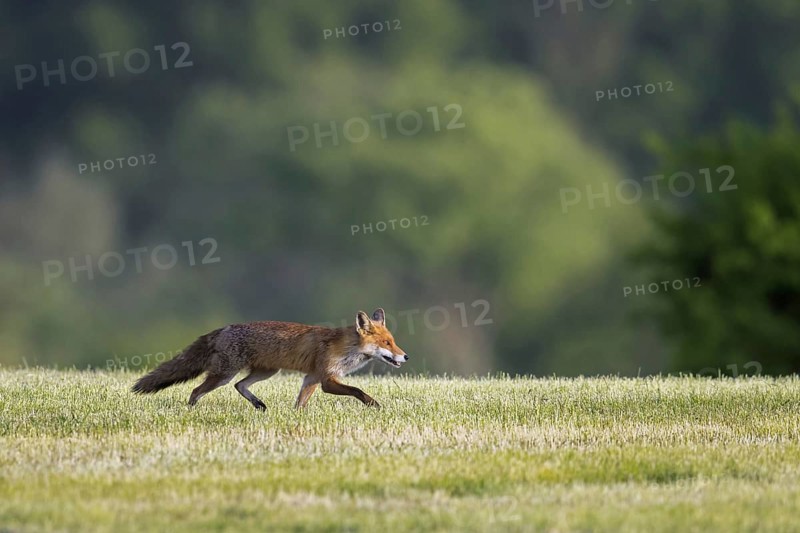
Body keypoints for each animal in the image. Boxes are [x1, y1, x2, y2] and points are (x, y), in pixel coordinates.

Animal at [131, 308, 408, 409]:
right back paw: (191, 411)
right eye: (387, 343)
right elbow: (358, 390)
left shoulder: (312, 378)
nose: (405, 356)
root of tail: (223, 328)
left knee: (239, 385)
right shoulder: (327, 380)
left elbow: (300, 403)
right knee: (196, 390)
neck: (345, 347)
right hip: (223, 374)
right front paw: (374, 405)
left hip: (265, 372)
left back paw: (259, 405)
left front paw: (297, 417)